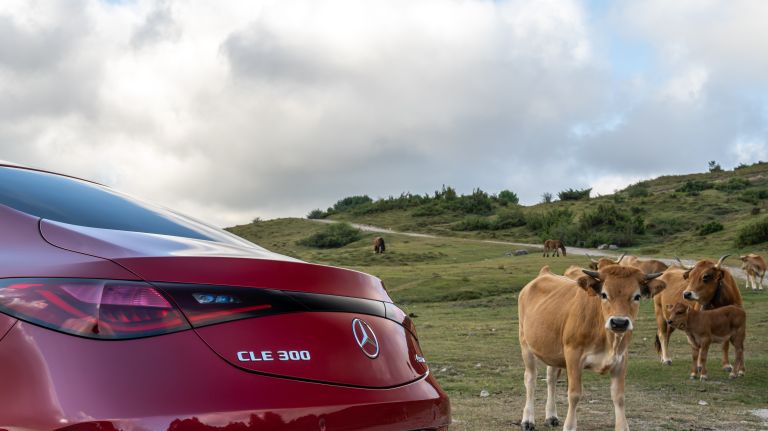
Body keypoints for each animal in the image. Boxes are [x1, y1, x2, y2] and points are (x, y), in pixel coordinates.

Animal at [516, 264, 664, 430]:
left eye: (637, 296)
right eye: (604, 294)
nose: (619, 322)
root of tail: (545, 273)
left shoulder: (621, 360)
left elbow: (619, 397)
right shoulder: (573, 356)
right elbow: (574, 394)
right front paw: (570, 426)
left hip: (552, 351)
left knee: (551, 378)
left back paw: (551, 416)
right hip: (525, 343)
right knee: (530, 379)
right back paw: (528, 420)